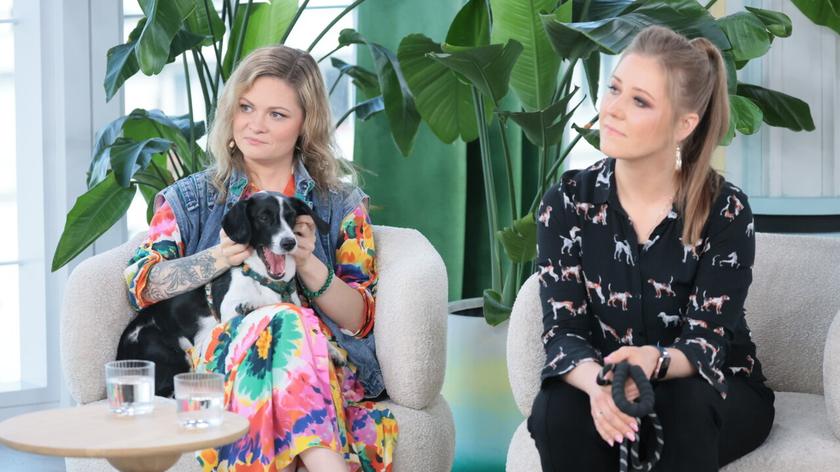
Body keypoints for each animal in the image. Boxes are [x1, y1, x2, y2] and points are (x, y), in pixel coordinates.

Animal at [116, 192, 328, 397]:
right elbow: (263, 305)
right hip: (172, 356)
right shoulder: (227, 312)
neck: (264, 279)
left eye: (291, 216)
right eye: (264, 217)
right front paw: (251, 305)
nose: (289, 242)